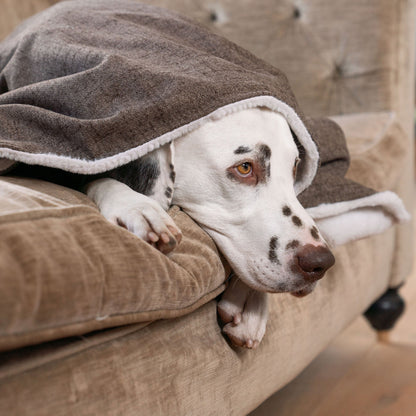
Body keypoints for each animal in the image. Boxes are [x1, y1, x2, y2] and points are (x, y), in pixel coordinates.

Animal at [84, 106, 334, 348]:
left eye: (295, 167)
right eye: (245, 168)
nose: (321, 263)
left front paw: (250, 302)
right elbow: (99, 181)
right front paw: (135, 206)